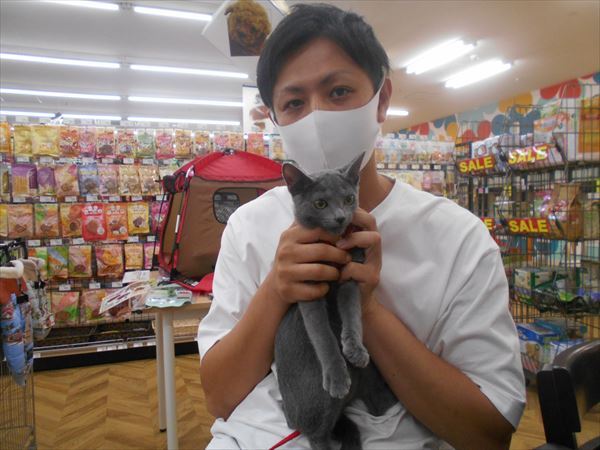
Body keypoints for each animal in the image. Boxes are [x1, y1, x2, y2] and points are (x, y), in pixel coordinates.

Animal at [274, 153, 397, 450]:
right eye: (320, 203)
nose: (341, 217)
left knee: (376, 406)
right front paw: (338, 376)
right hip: (317, 403)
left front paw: (355, 349)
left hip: (367, 387)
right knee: (315, 434)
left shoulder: (351, 276)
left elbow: (352, 315)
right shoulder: (308, 289)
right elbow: (323, 336)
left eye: (349, 198)